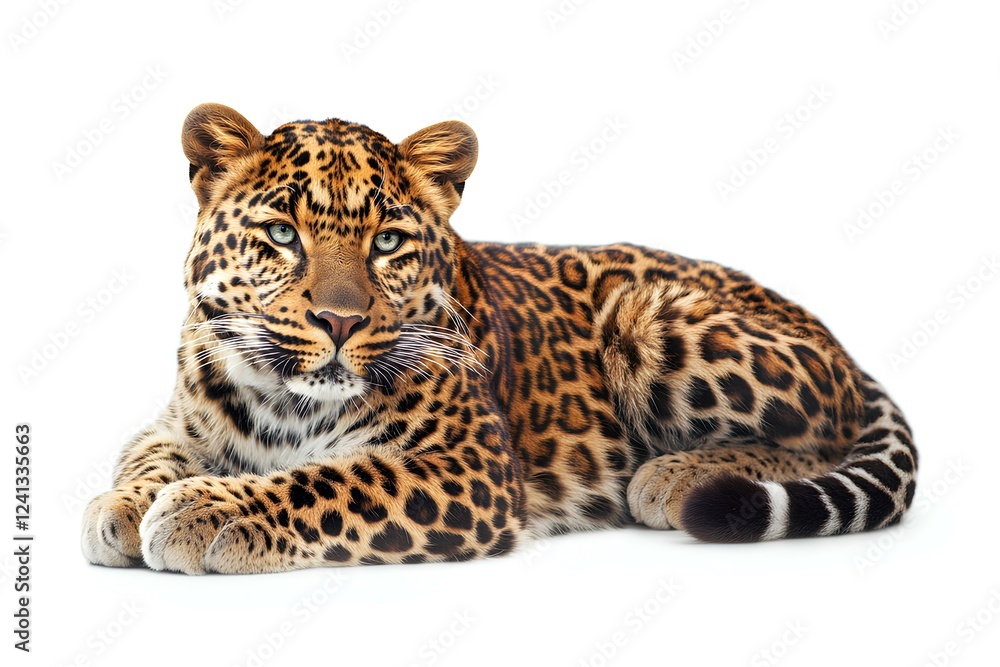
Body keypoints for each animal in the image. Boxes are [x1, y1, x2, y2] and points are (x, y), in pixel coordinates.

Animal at [81, 103, 918, 574]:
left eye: (387, 242)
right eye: (283, 234)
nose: (340, 321)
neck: (281, 399)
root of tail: (833, 336)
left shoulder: (470, 463)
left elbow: (331, 480)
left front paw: (206, 511)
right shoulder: (177, 416)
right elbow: (148, 455)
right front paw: (120, 506)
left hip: (646, 313)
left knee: (826, 433)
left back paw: (676, 475)